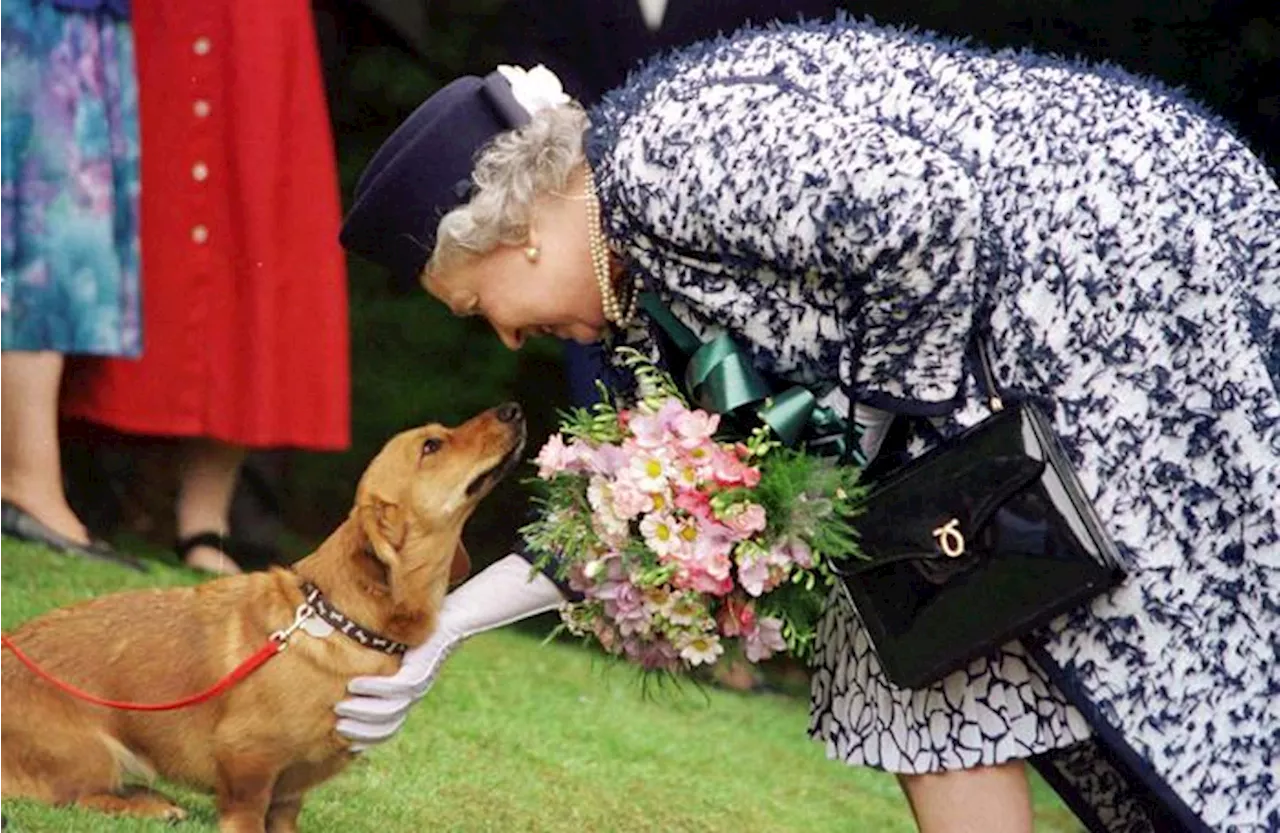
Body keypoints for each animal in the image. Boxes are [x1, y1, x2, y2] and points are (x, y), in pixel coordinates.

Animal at [0, 401, 524, 829]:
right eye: (432, 445)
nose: (514, 409)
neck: (339, 619)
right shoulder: (248, 761)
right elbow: (247, 810)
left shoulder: (290, 792)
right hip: (95, 754)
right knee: (81, 796)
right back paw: (146, 806)